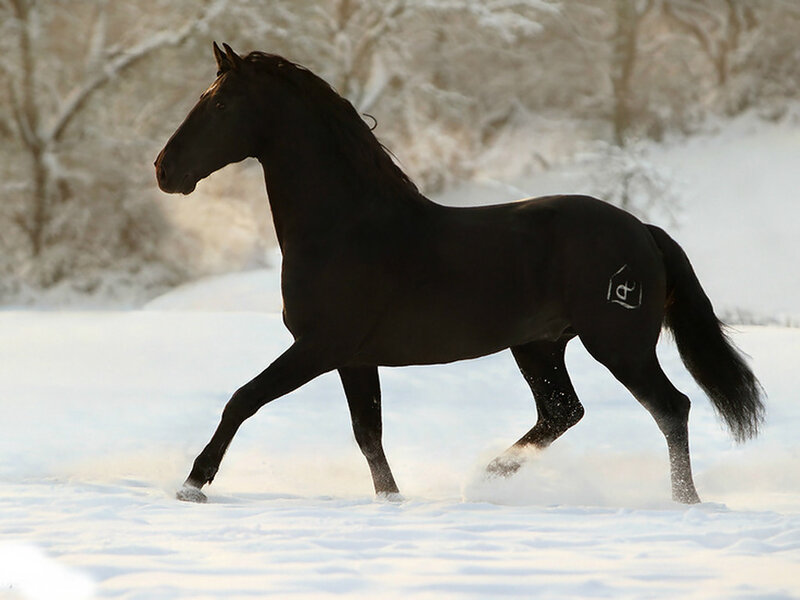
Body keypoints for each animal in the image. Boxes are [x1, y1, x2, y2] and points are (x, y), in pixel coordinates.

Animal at [155, 43, 764, 505]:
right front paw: (391, 500)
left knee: (670, 408)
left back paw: (684, 501)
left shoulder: (319, 347)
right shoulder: (354, 357)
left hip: (619, 344)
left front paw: (193, 484)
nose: (165, 169)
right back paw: (485, 479)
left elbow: (243, 399)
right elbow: (368, 434)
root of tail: (642, 229)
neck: (346, 228)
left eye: (222, 103)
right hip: (539, 347)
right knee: (563, 412)